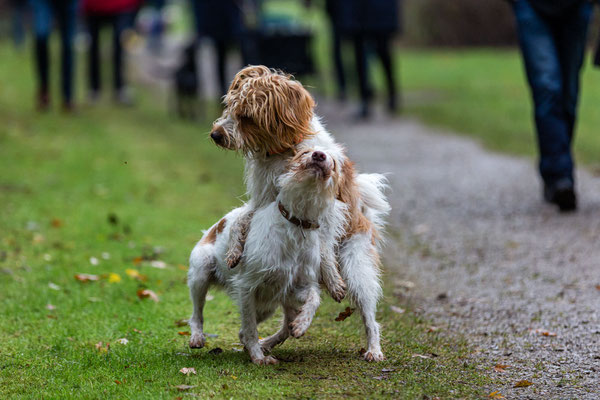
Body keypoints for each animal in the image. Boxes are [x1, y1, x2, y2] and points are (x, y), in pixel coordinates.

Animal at [188, 148, 346, 366]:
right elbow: (251, 329)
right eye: (304, 152)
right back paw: (197, 337)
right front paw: (258, 357)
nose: (319, 155)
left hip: (269, 304)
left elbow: (314, 298)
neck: (296, 224)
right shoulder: (247, 286)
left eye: (335, 162)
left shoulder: (298, 286)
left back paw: (269, 342)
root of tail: (214, 227)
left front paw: (302, 324)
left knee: (272, 326)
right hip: (201, 275)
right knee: (198, 314)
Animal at [209, 66, 392, 362]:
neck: (283, 150)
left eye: (247, 117)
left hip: (356, 268)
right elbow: (240, 219)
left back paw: (373, 349)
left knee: (370, 318)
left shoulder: (330, 211)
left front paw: (332, 278)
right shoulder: (264, 200)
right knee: (285, 322)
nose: (216, 135)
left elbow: (324, 245)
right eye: (229, 107)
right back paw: (266, 342)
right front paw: (235, 249)